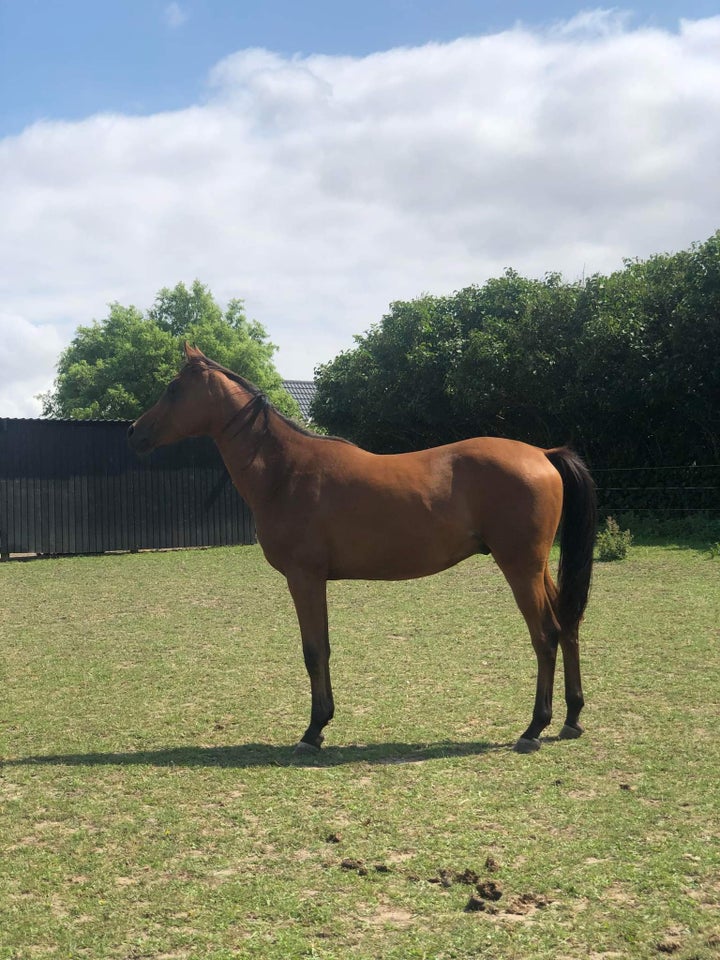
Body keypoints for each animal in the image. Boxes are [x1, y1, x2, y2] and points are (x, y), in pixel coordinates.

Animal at [128, 344, 596, 756]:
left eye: (173, 387)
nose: (134, 432)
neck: (287, 470)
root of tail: (542, 453)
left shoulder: (304, 578)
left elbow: (314, 650)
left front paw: (312, 731)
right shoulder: (313, 580)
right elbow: (323, 646)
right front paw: (321, 725)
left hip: (519, 566)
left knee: (545, 634)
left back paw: (534, 728)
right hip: (538, 567)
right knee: (568, 623)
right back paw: (572, 718)